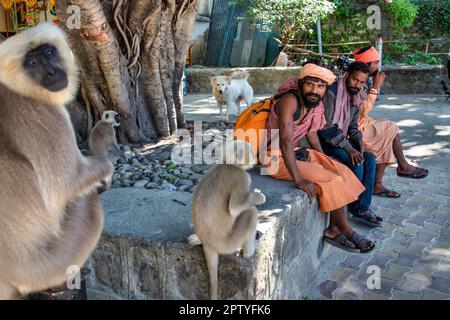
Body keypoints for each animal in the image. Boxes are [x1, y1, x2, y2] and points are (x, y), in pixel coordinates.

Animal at [0, 23, 114, 300]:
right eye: (32, 63)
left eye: (49, 53)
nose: (52, 71)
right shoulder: (37, 110)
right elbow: (67, 185)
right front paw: (107, 170)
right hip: (50, 264)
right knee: (90, 202)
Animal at [191, 141, 268, 300]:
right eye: (251, 152)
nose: (255, 157)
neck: (227, 164)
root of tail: (208, 243)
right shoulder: (241, 177)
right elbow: (234, 208)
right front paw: (258, 197)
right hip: (229, 243)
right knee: (251, 212)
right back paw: (249, 253)